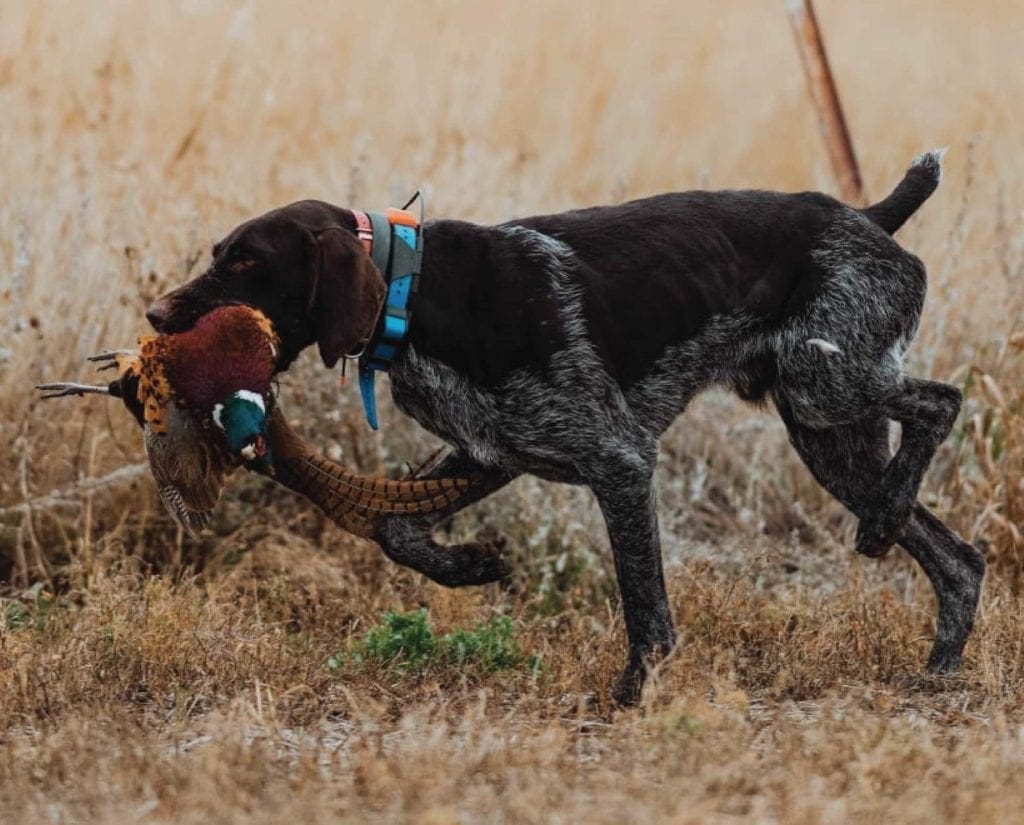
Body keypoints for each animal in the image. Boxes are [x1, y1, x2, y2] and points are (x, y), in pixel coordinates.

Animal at [146, 153, 983, 704]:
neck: (415, 289)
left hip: (824, 383)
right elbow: (395, 529)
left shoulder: (619, 457)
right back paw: (936, 665)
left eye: (247, 262)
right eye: (221, 254)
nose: (154, 314)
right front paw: (471, 565)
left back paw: (889, 519)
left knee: (941, 401)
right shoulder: (493, 446)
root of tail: (866, 218)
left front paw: (634, 694)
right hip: (828, 433)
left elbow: (646, 608)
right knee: (961, 559)